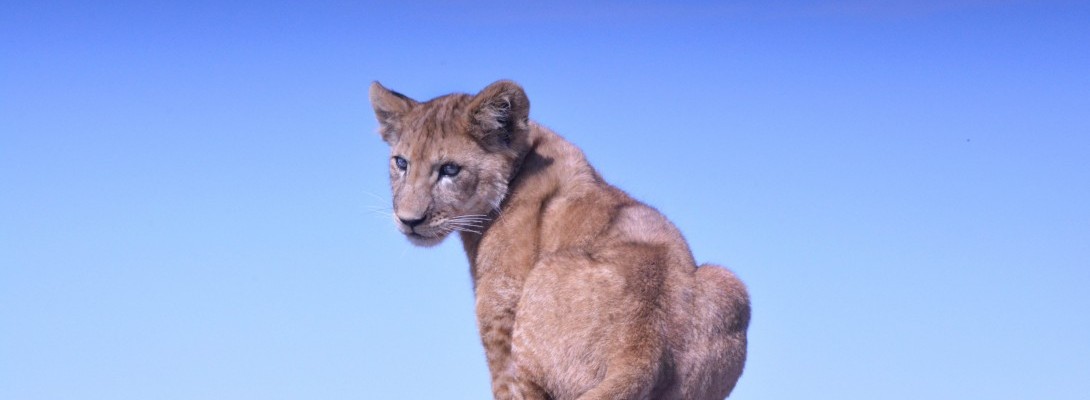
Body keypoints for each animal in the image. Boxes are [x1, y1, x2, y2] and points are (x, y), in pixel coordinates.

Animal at [369, 80, 750, 400]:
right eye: (401, 163)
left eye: (450, 169)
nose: (409, 220)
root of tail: (642, 351)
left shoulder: (501, 330)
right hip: (728, 284)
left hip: (543, 281)